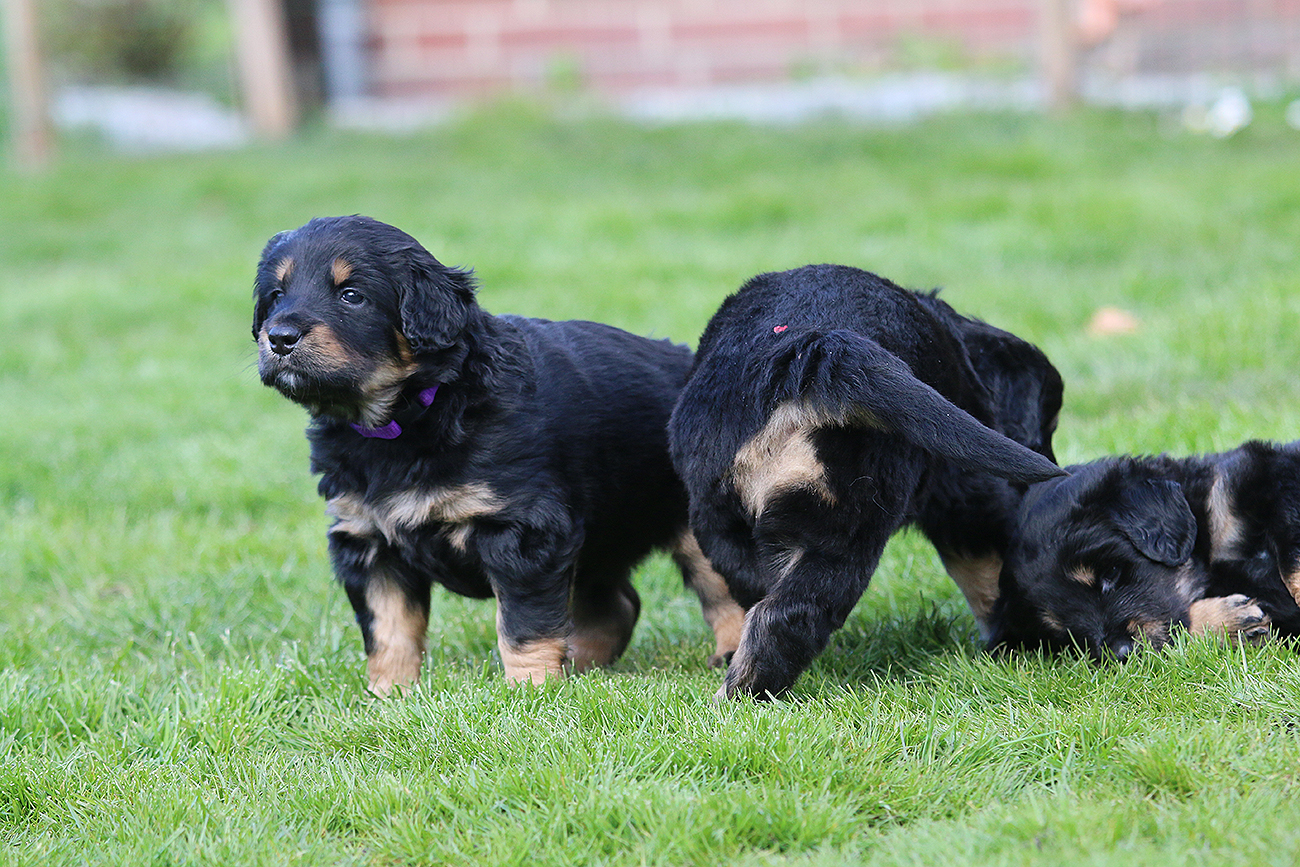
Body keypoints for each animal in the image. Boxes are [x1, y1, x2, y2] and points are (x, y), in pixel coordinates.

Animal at [252, 215, 743, 695]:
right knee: (616, 604)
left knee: (725, 589)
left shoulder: (524, 530)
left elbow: (523, 623)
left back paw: (730, 654)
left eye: (351, 295)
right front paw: (389, 696)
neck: (409, 418)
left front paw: (531, 690)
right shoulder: (368, 539)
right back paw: (583, 667)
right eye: (275, 296)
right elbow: (389, 628)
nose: (279, 337)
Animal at [667, 264, 1066, 700]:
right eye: (1047, 425)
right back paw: (748, 693)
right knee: (791, 614)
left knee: (759, 598)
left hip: (721, 516)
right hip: (852, 517)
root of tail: (816, 350)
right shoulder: (968, 495)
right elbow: (989, 575)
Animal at [988, 442, 1300, 660]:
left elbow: (1292, 565)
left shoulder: (1272, 479)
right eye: (1064, 633)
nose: (1121, 654)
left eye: (1111, 573)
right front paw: (1227, 621)